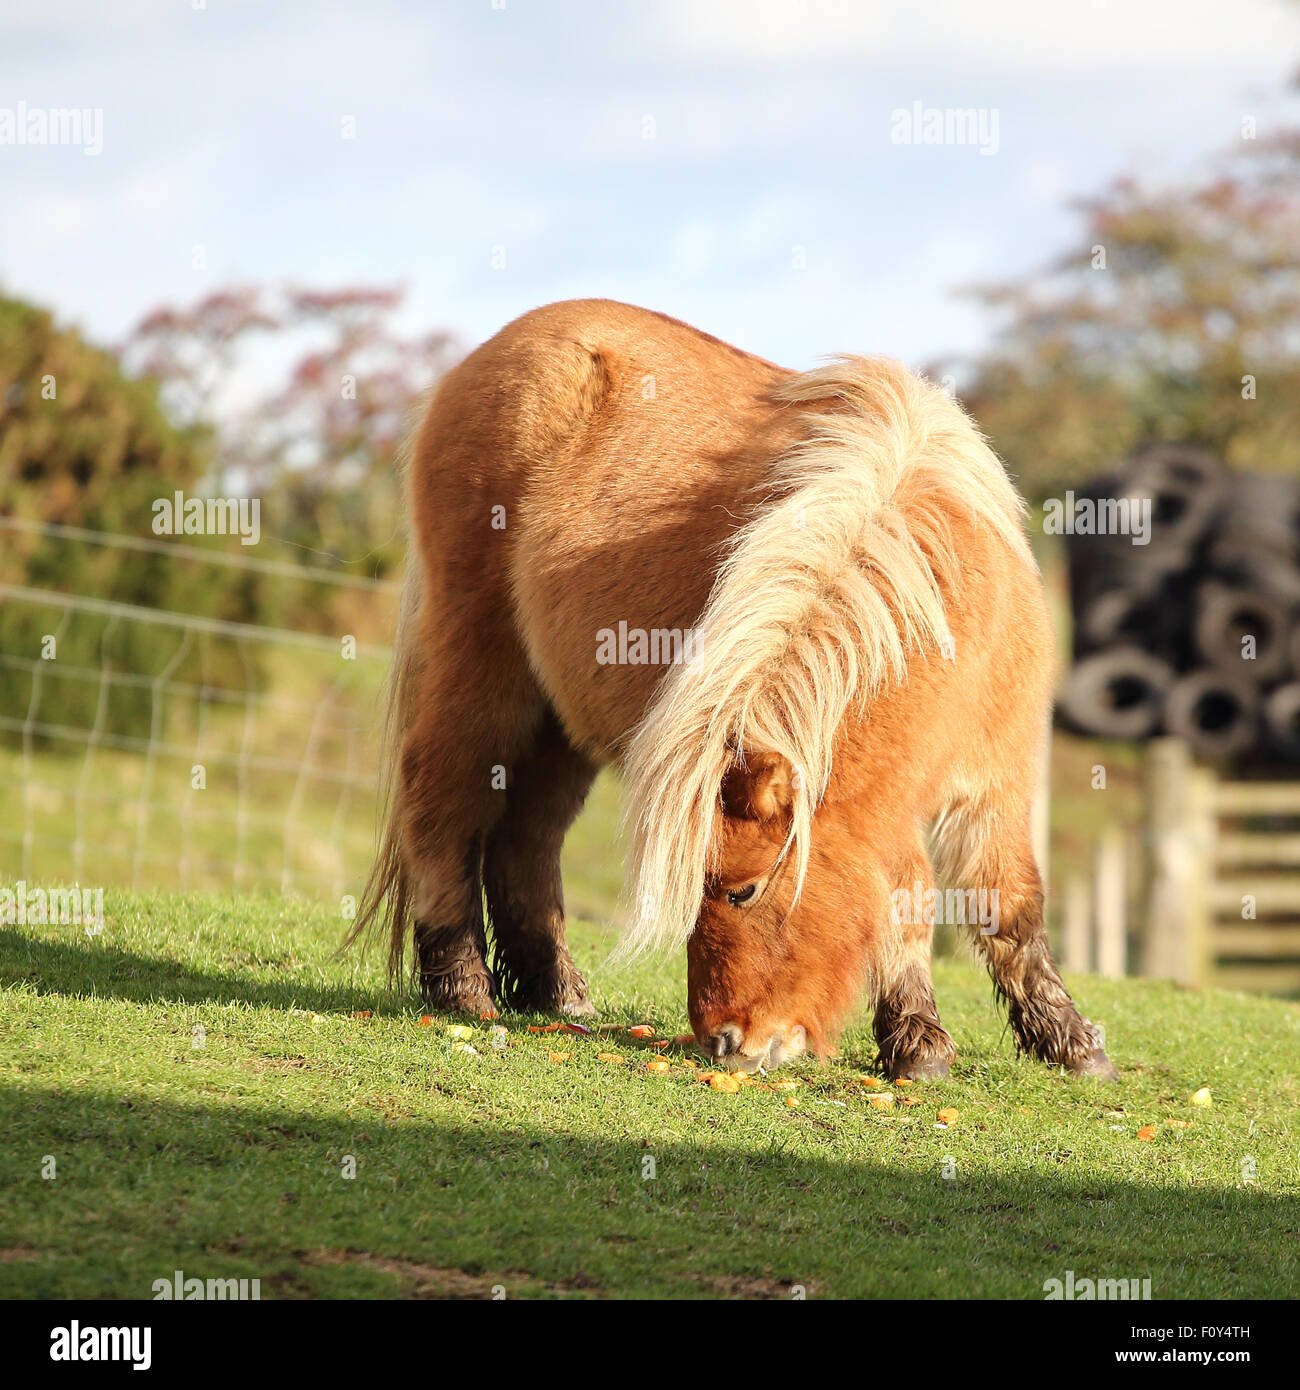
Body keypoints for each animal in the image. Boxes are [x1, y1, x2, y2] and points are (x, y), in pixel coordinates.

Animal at [347, 298, 1117, 1084]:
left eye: (744, 889)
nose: (724, 1040)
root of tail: (489, 354)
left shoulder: (996, 781)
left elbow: (1008, 904)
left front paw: (1068, 1043)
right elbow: (907, 892)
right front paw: (921, 1040)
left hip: (558, 717)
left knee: (527, 837)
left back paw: (557, 992)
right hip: (480, 665)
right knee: (442, 796)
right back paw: (462, 988)